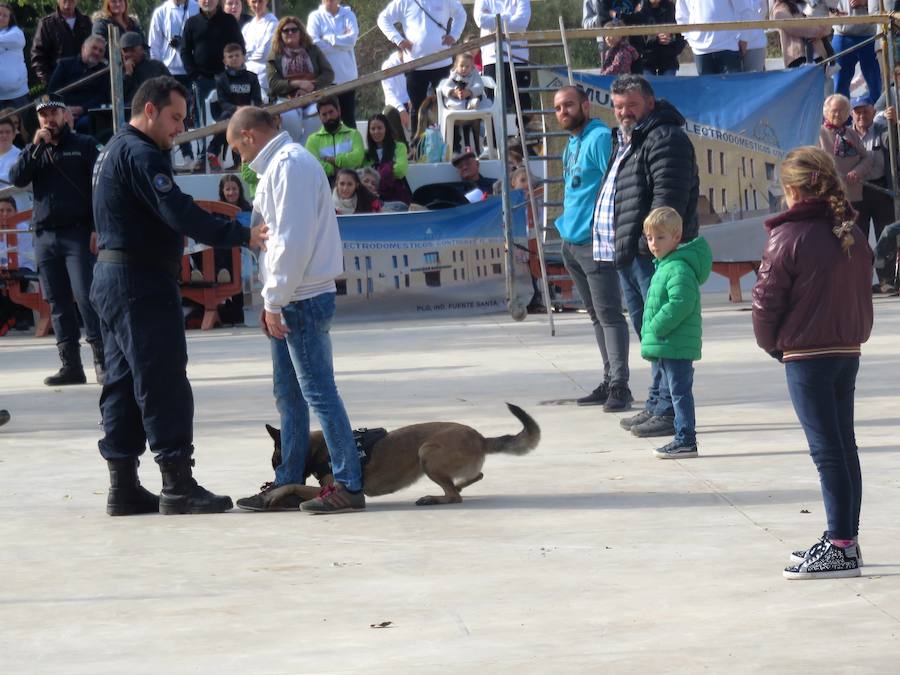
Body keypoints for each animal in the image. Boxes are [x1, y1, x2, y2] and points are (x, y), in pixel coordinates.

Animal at [264, 402, 536, 508]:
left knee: (454, 495)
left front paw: (275, 492)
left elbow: (295, 486)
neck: (318, 446)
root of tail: (480, 438)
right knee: (474, 477)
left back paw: (434, 498)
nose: (272, 477)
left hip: (426, 453)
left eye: (276, 462)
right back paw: (457, 486)